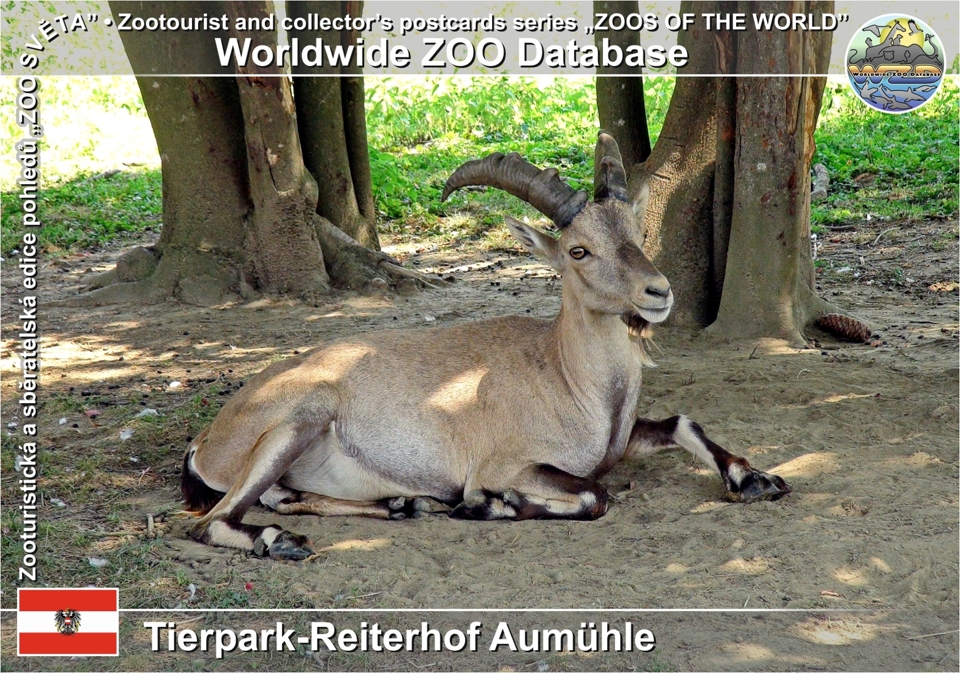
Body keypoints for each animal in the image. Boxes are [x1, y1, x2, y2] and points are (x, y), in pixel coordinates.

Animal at [181, 132, 791, 560]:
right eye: (578, 250)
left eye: (637, 234)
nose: (658, 292)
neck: (569, 379)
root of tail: (207, 440)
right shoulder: (509, 462)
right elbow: (594, 495)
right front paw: (488, 506)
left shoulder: (622, 439)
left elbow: (683, 423)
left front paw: (756, 479)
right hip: (298, 418)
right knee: (213, 521)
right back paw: (281, 540)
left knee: (283, 495)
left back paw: (406, 502)